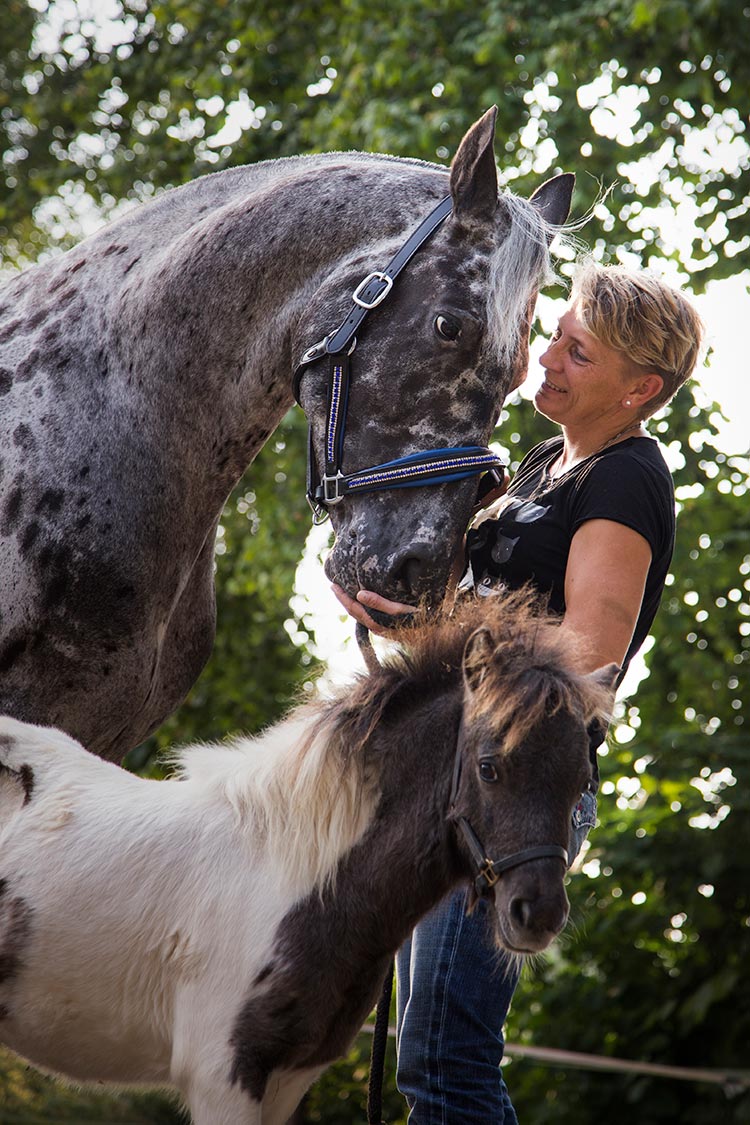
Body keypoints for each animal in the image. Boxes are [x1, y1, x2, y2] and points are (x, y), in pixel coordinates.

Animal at [0, 591, 614, 1124]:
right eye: (489, 767)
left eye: (582, 784)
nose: (538, 914)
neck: (289, 875)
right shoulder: (221, 1078)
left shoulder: (287, 1082)